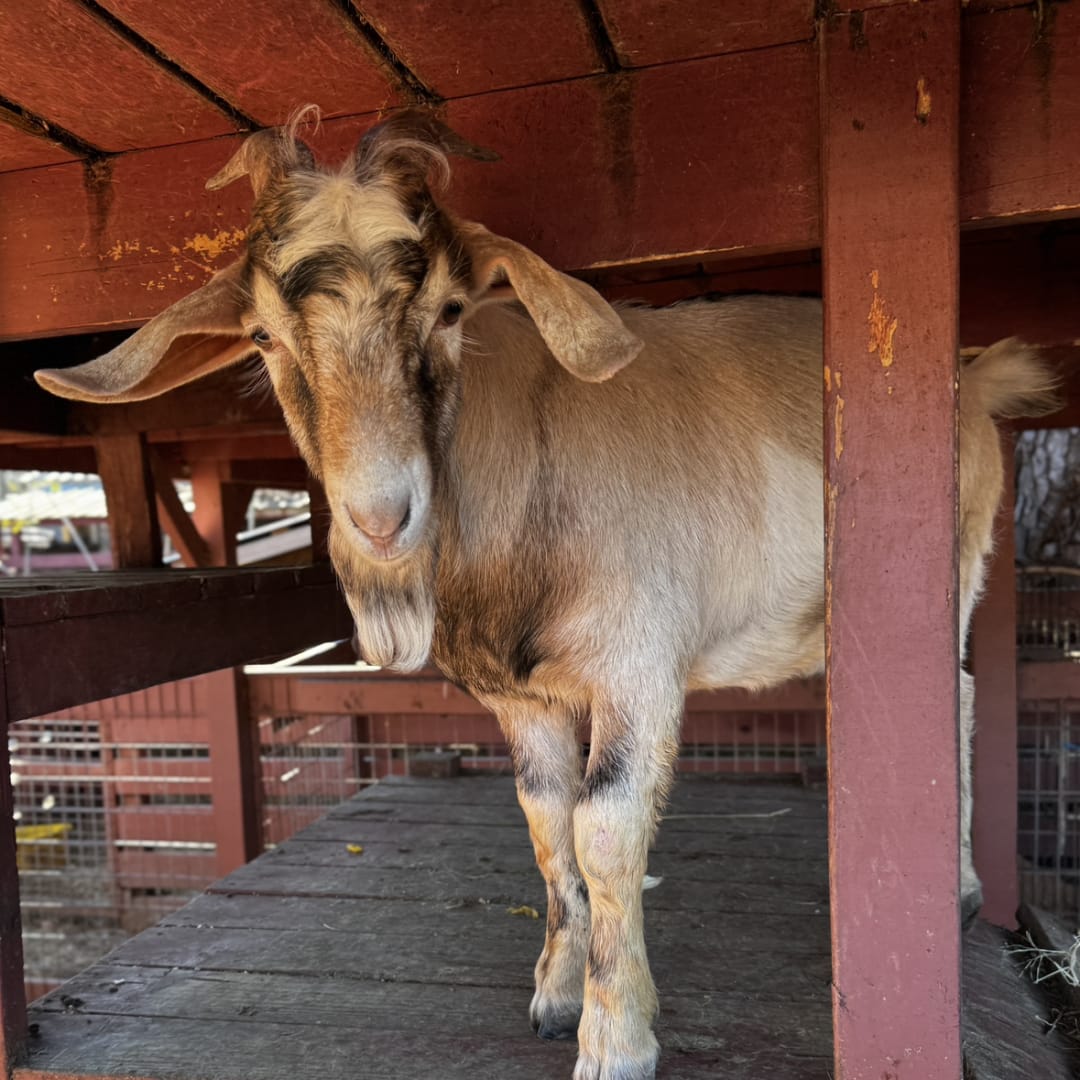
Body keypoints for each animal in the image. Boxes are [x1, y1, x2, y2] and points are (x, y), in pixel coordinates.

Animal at [36, 111, 1060, 1080]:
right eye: (262, 336)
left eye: (450, 309)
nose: (380, 519)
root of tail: (973, 378)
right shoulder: (522, 697)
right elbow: (546, 826)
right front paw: (556, 997)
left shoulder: (639, 665)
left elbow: (602, 831)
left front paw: (616, 1040)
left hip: (952, 560)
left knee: (954, 695)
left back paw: (958, 893)